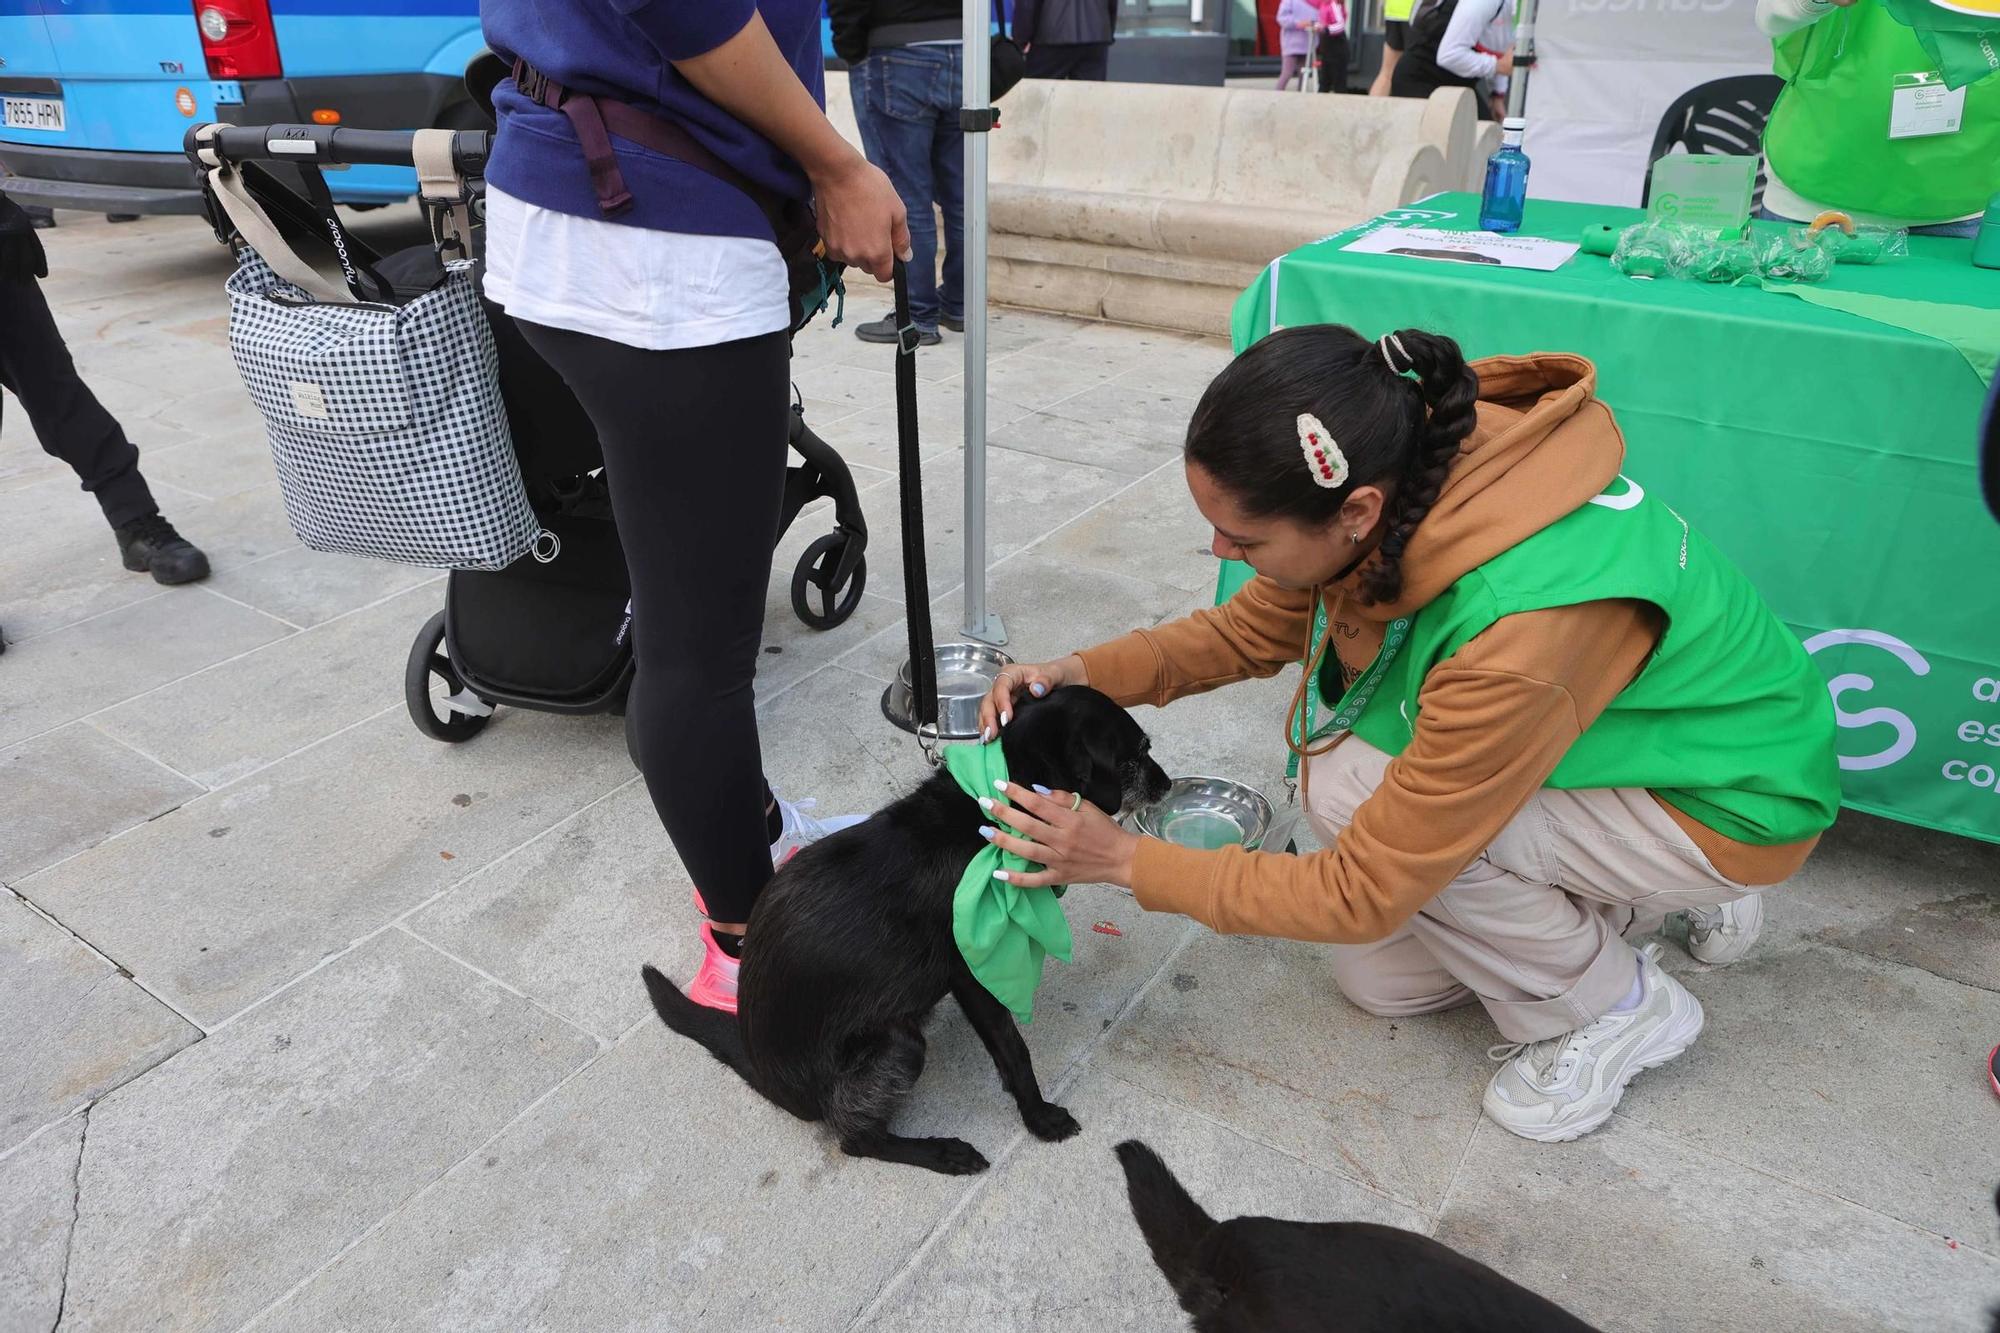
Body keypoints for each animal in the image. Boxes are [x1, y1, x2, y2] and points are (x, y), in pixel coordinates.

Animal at [640, 684, 1168, 1176]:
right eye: (1136, 754)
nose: (1165, 785)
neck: (992, 803)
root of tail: (770, 1079)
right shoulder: (974, 977)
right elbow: (1015, 1052)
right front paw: (1038, 1117)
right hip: (898, 1046)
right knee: (857, 1141)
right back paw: (939, 1151)